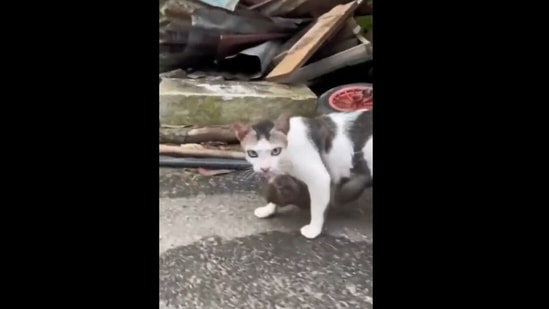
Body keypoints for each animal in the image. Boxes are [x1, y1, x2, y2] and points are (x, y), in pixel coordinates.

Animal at [232, 109, 372, 239]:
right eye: (252, 153)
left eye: (276, 151)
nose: (265, 168)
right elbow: (274, 188)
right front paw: (268, 209)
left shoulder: (319, 178)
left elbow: (317, 207)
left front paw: (314, 229)